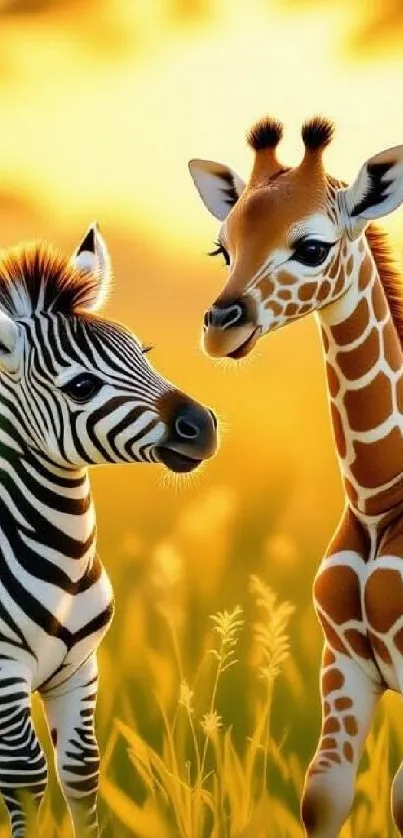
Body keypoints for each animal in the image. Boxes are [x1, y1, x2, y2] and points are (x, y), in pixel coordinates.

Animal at [0, 222, 217, 837]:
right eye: (79, 387)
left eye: (144, 354)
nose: (203, 428)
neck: (66, 558)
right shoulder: (3, 675)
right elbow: (26, 777)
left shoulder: (81, 669)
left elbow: (81, 770)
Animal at [188, 116, 403, 836]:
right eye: (222, 249)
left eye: (311, 247)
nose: (220, 328)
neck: (377, 499)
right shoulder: (345, 661)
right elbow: (322, 795)